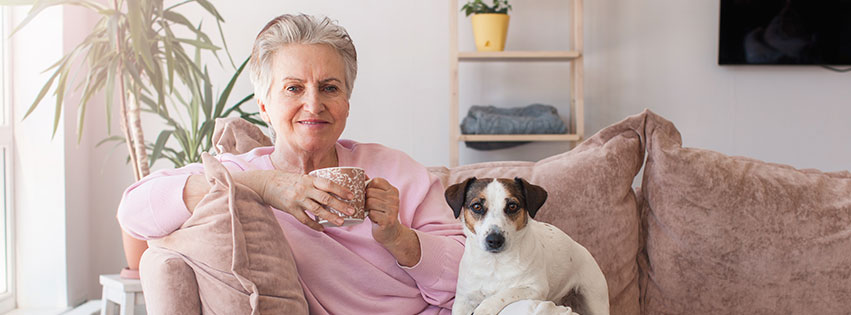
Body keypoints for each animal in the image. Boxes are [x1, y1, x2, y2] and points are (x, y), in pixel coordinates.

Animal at [442, 178, 608, 315]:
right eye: (476, 206)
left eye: (512, 206)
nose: (495, 240)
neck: (495, 263)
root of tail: (580, 247)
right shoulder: (463, 300)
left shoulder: (535, 288)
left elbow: (502, 295)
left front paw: (484, 308)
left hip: (595, 300)